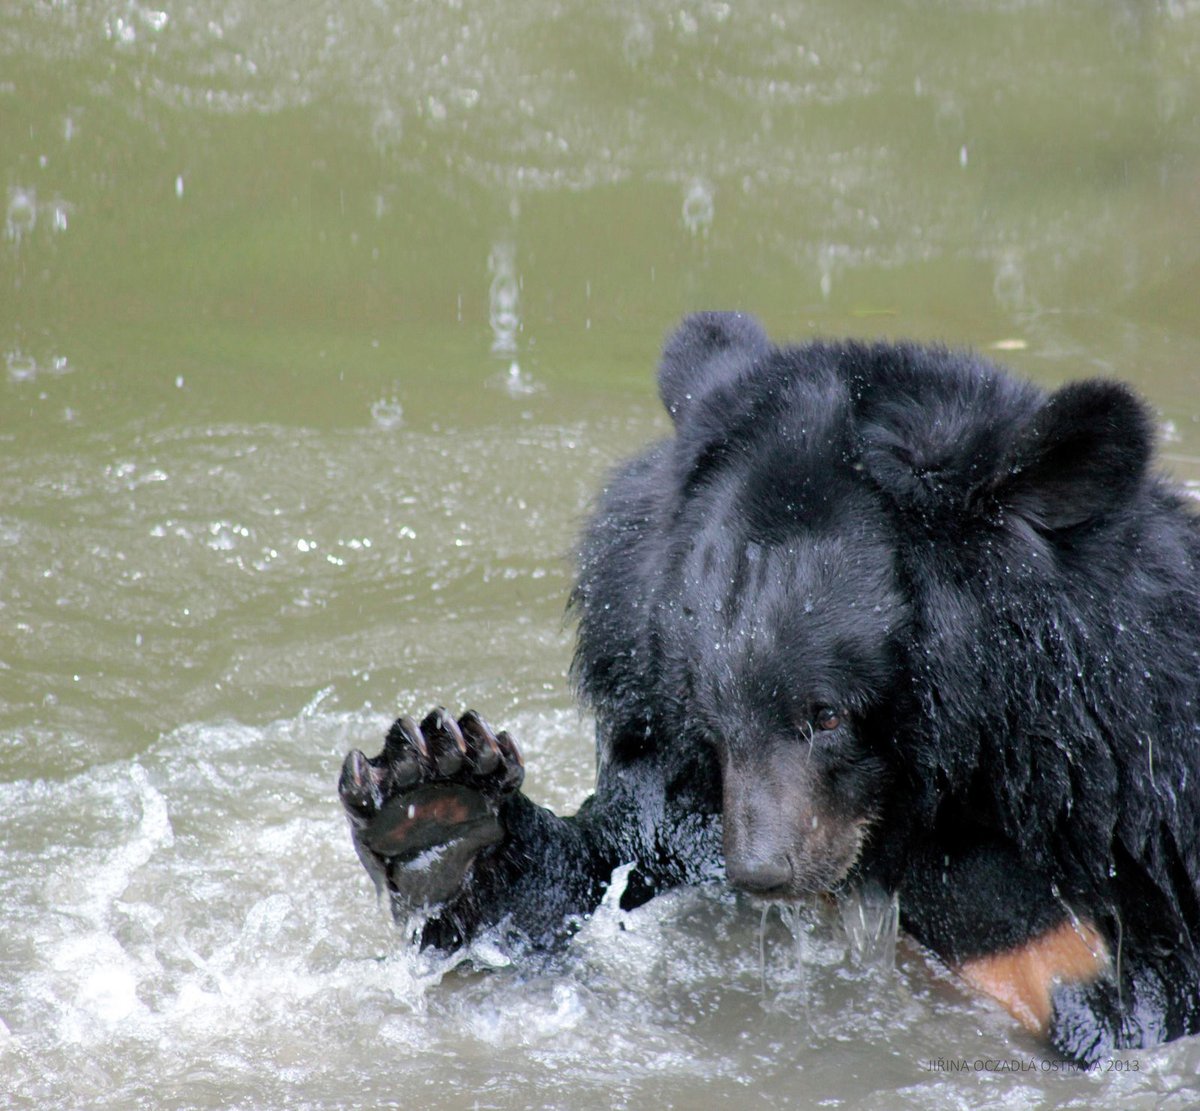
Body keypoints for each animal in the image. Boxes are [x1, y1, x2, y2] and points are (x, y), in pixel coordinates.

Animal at [338, 314, 1200, 1070]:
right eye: (707, 707)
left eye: (828, 714)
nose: (761, 869)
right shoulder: (683, 800)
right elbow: (596, 865)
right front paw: (436, 808)